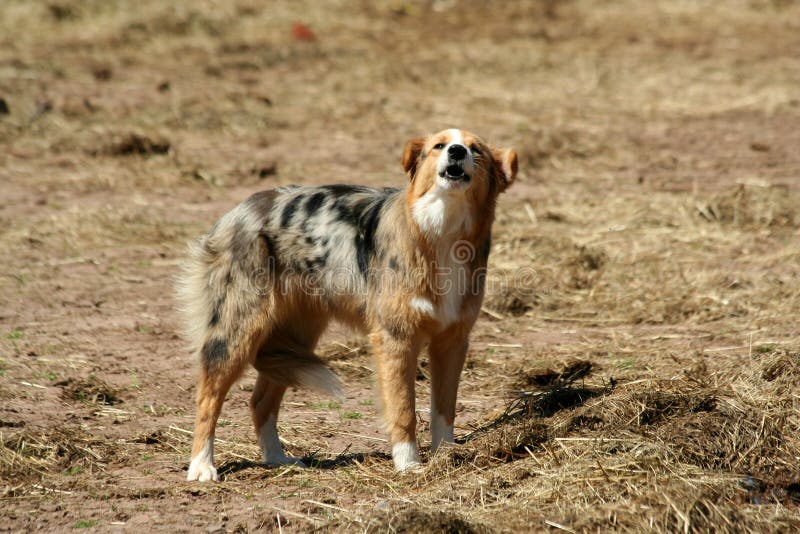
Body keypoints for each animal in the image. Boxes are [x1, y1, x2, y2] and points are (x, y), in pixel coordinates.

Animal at [179, 130, 520, 482]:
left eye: (475, 150)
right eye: (438, 146)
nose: (456, 151)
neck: (441, 230)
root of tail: (239, 209)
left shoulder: (452, 341)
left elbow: (444, 409)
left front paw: (446, 456)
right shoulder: (396, 340)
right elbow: (404, 410)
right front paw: (409, 465)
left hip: (293, 339)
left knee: (260, 402)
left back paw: (277, 459)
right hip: (237, 333)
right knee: (208, 398)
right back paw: (202, 466)